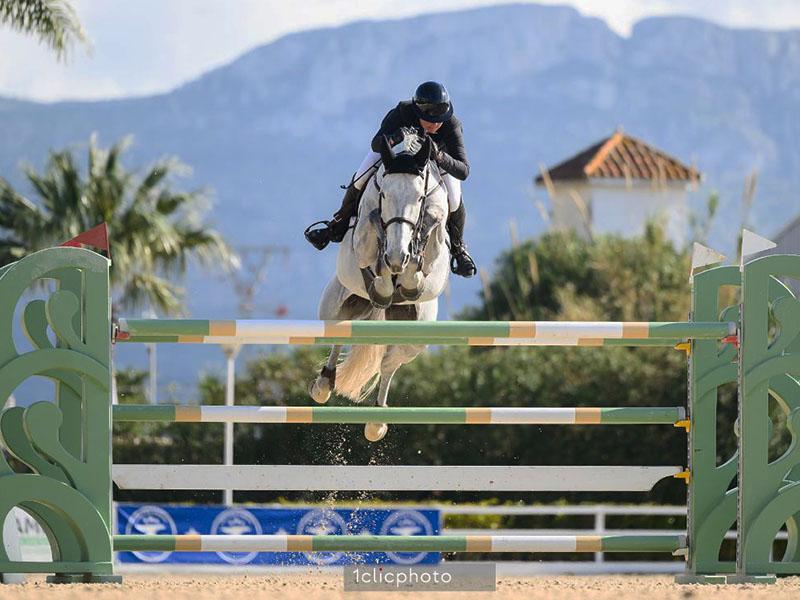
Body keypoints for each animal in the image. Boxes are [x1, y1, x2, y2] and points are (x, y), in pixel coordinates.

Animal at [308, 134, 451, 441]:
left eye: (419, 198)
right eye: (384, 195)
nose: (397, 256)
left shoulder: (434, 253)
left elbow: (432, 232)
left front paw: (410, 266)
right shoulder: (362, 242)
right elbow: (371, 246)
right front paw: (386, 275)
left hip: (414, 335)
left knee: (388, 363)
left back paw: (376, 422)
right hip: (334, 307)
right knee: (340, 333)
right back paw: (324, 384)